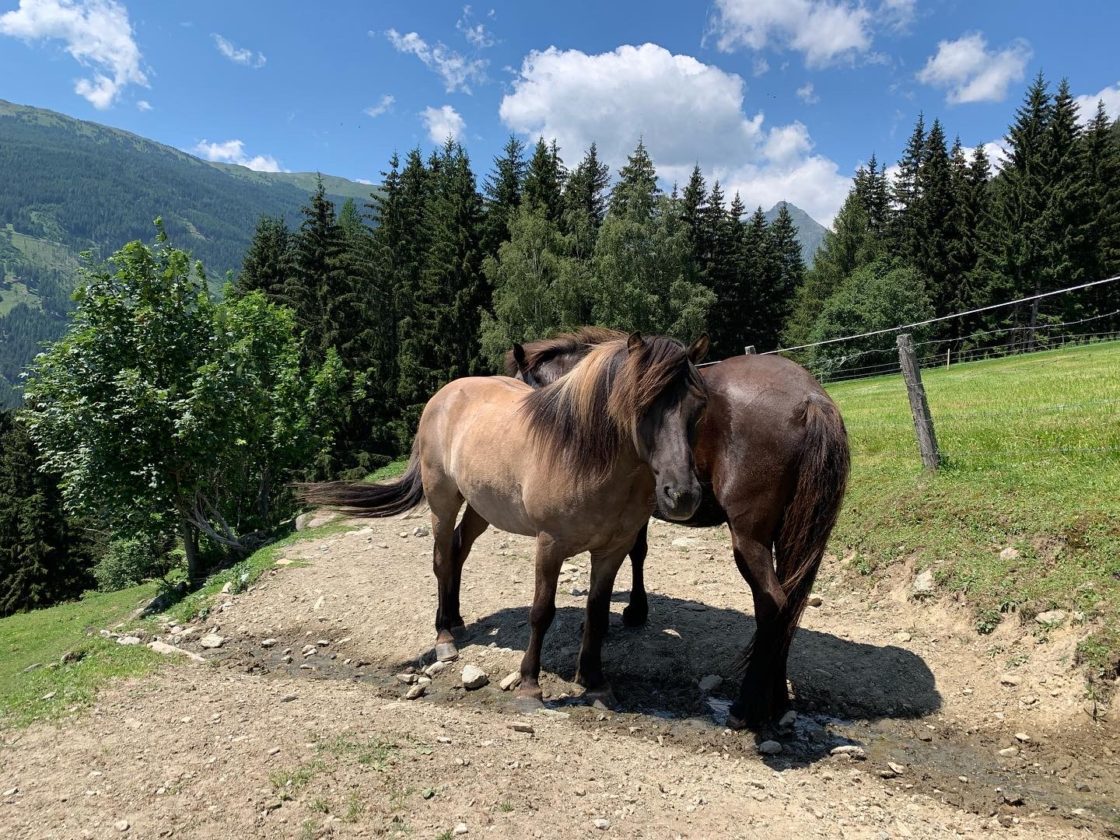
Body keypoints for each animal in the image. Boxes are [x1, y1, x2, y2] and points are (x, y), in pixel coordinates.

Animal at [304, 333, 707, 712]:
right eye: (642, 404)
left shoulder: (613, 550)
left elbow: (597, 613)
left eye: (699, 406)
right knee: (441, 560)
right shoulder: (550, 545)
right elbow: (541, 613)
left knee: (458, 551)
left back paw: (455, 620)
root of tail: (443, 396)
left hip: (481, 509)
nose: (682, 495)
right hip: (442, 503)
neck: (584, 457)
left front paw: (595, 681)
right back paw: (444, 638)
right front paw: (530, 685)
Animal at [508, 329, 846, 730]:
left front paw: (631, 612)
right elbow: (638, 553)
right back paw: (777, 701)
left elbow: (634, 555)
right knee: (790, 604)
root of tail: (809, 398)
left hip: (749, 541)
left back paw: (746, 706)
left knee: (772, 605)